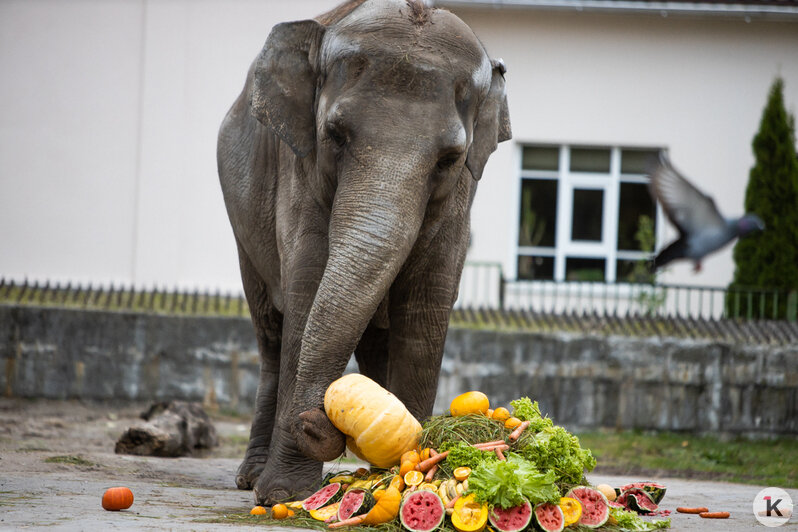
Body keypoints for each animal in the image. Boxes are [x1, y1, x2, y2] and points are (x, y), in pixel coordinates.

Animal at [217, 0, 512, 502]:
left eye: (449, 159)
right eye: (334, 135)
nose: (313, 420)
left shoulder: (460, 198)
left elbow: (425, 310)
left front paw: (412, 467)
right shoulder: (300, 173)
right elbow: (306, 295)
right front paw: (284, 496)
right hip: (242, 225)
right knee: (271, 336)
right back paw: (251, 479)